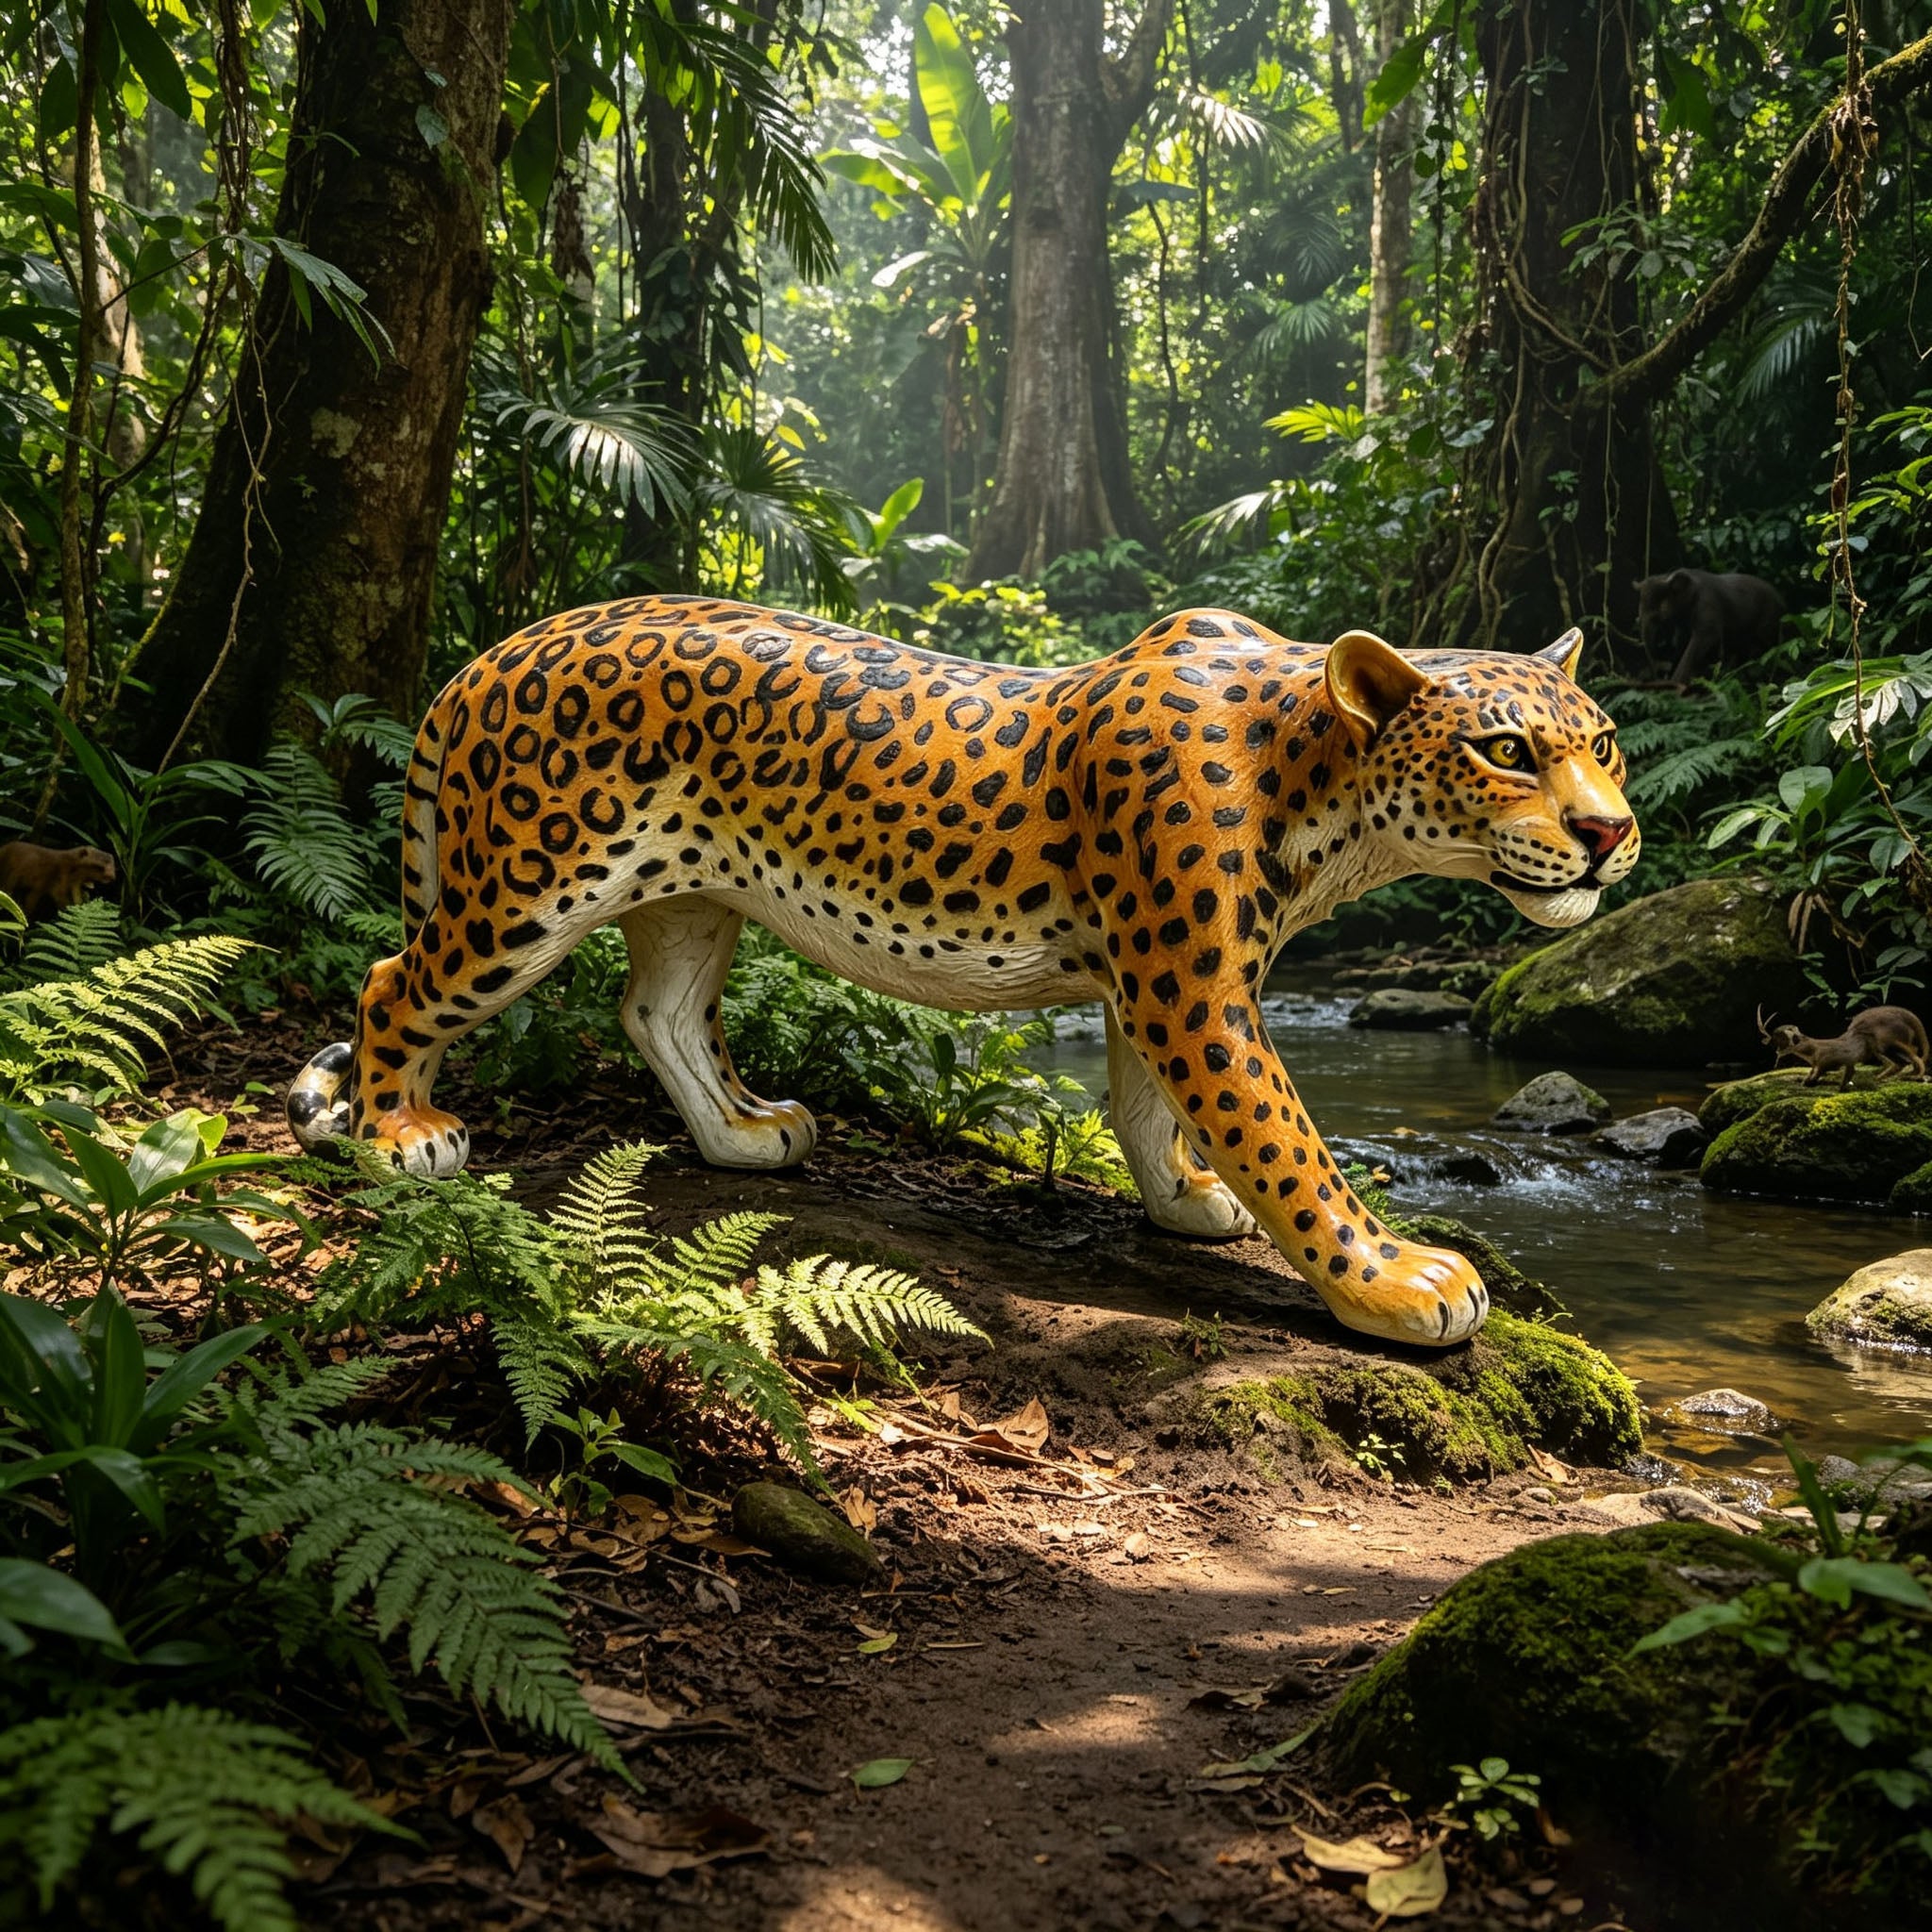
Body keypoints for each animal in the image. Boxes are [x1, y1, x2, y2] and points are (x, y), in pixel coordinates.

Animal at [287, 596, 1639, 1348]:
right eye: (1505, 750)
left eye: (1604, 742)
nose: (1608, 831)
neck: (1325, 794)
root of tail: (490, 652)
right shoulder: (1192, 980)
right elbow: (1286, 1140)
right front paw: (1396, 1280)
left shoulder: (1155, 977)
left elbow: (1149, 1108)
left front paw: (1185, 1199)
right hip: (526, 889)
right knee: (393, 979)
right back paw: (399, 1134)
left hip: (690, 892)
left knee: (655, 1008)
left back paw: (744, 1132)